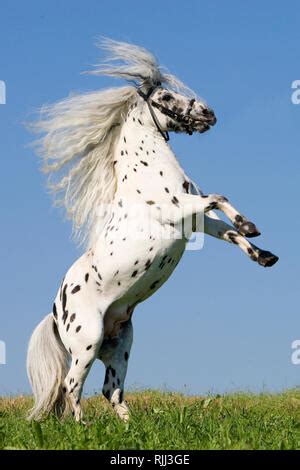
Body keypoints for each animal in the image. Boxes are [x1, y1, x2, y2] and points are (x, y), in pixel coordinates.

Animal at [26, 38, 278, 422]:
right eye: (166, 97)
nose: (208, 113)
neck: (146, 172)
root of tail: (56, 311)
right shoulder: (179, 210)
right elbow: (220, 198)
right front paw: (251, 227)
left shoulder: (194, 218)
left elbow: (227, 228)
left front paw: (263, 253)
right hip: (87, 343)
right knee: (72, 387)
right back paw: (83, 427)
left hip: (119, 344)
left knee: (111, 390)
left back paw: (129, 428)